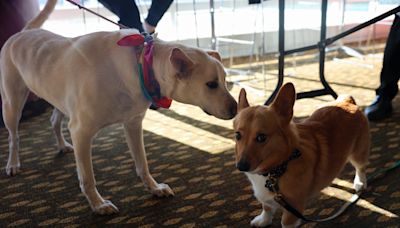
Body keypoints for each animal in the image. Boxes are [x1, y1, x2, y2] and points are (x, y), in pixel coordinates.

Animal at [0, 0, 238, 215]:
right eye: (211, 84)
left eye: (225, 80)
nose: (236, 109)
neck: (141, 63)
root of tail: (24, 32)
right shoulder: (81, 132)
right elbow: (87, 177)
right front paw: (98, 204)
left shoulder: (133, 124)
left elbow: (142, 164)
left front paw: (154, 188)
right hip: (12, 103)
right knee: (14, 137)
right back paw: (13, 163)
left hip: (59, 100)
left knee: (54, 121)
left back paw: (61, 145)